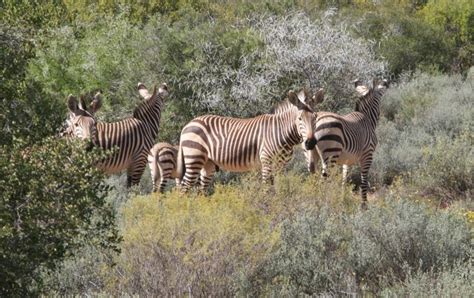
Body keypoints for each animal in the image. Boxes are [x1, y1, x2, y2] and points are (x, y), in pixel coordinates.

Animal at [176, 87, 324, 192]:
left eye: (315, 117)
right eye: (299, 119)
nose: (311, 143)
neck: (281, 132)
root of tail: (188, 124)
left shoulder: (281, 166)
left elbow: (279, 188)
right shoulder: (267, 162)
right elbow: (267, 190)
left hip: (208, 164)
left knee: (201, 190)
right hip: (194, 158)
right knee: (184, 188)